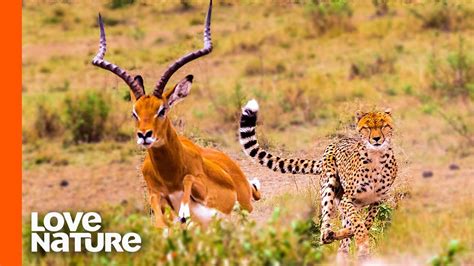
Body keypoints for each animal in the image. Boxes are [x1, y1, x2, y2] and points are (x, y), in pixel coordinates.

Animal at [239, 99, 398, 258]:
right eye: (367, 128)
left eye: (383, 126)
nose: (376, 139)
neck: (376, 157)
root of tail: (336, 142)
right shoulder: (347, 199)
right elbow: (358, 223)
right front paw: (362, 241)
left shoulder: (377, 200)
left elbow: (367, 222)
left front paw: (358, 237)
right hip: (330, 184)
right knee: (324, 229)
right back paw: (329, 234)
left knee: (342, 243)